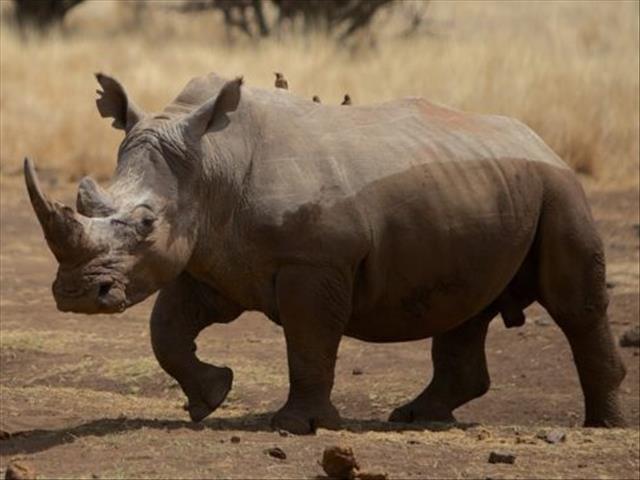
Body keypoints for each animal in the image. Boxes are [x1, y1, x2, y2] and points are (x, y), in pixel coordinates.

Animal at [24, 72, 626, 434]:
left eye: (147, 224)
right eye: (87, 199)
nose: (77, 295)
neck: (210, 162)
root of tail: (539, 140)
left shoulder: (313, 263)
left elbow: (309, 340)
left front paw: (298, 426)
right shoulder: (211, 256)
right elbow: (166, 331)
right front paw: (210, 397)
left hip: (559, 189)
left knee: (574, 306)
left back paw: (603, 426)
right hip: (487, 190)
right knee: (465, 306)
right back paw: (414, 418)